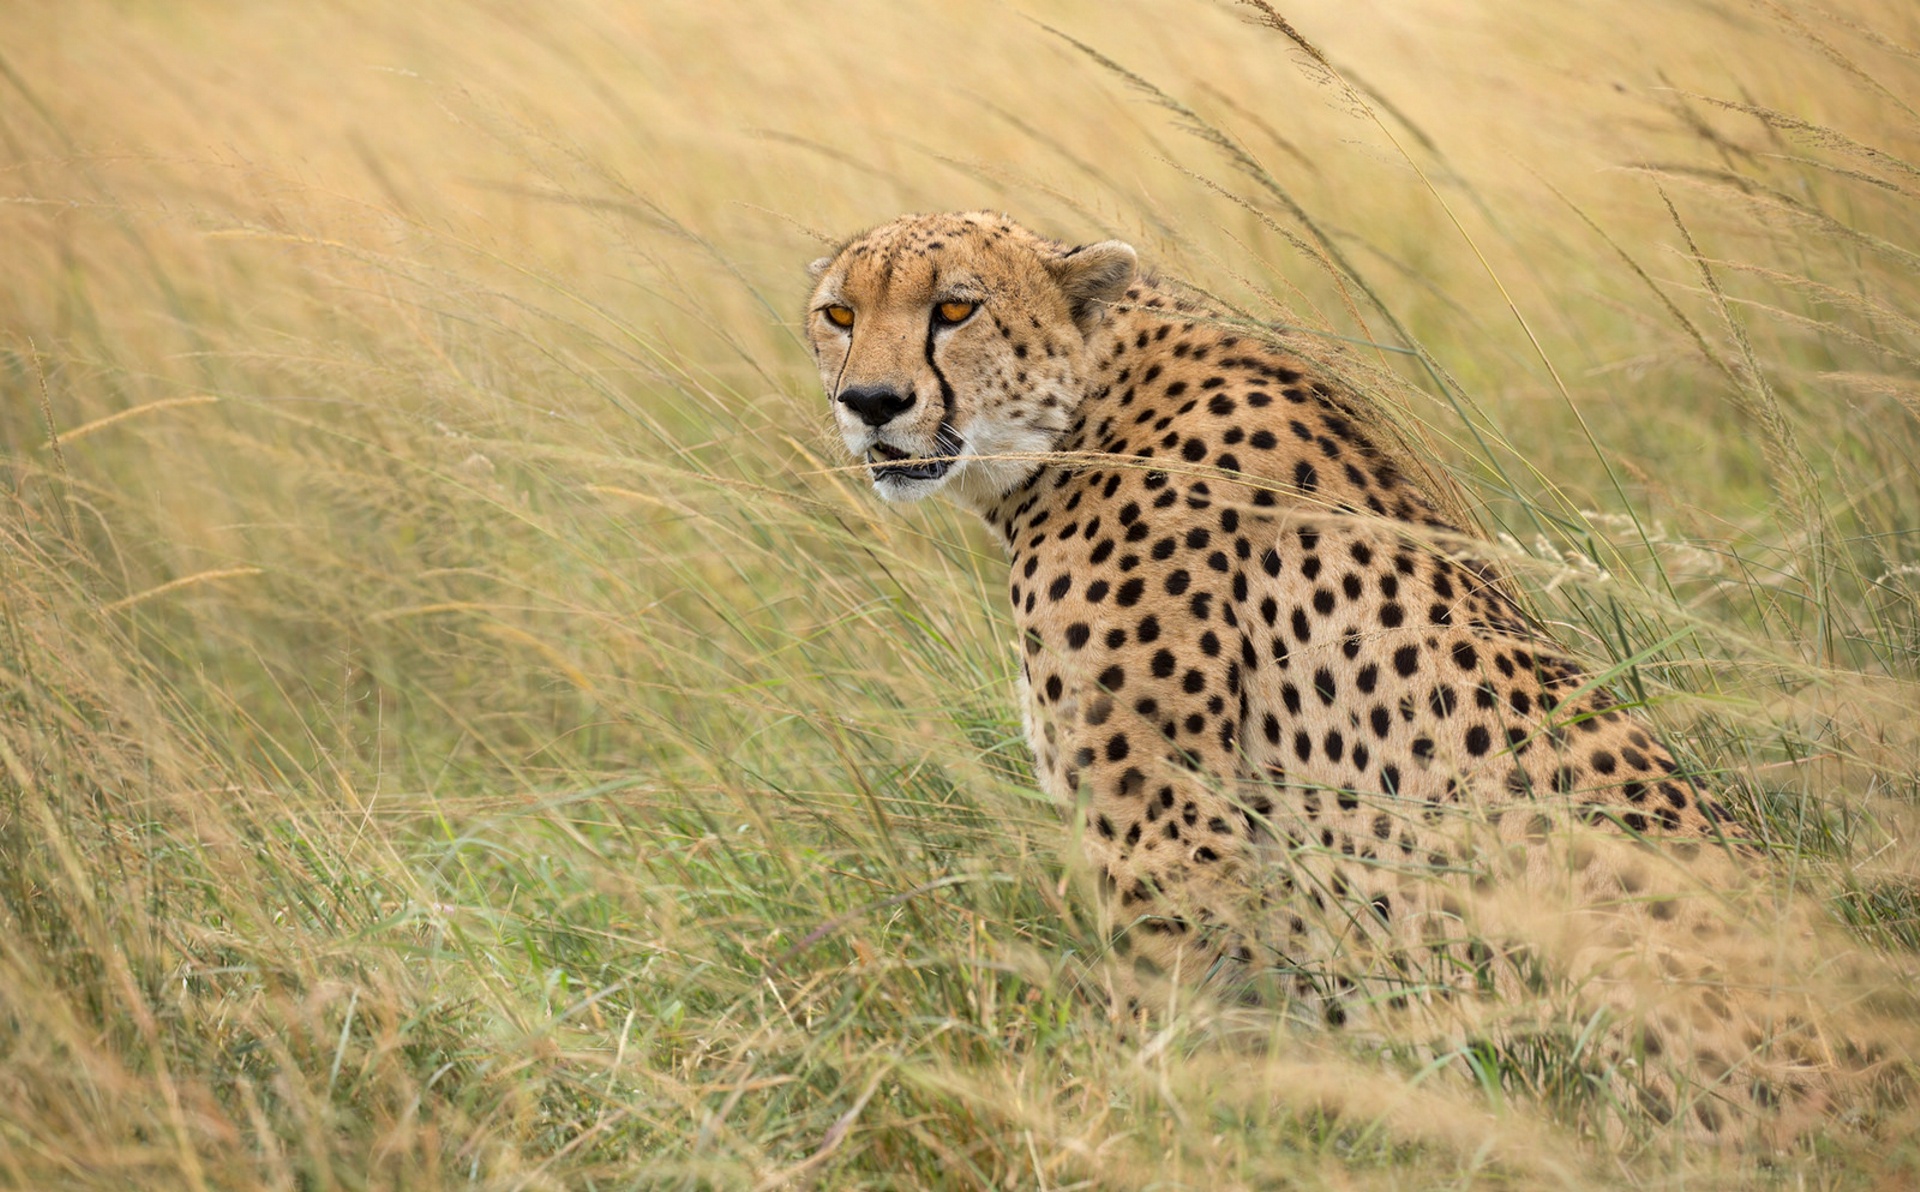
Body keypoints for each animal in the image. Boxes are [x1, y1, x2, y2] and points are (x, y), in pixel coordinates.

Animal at [802, 211, 1896, 1144]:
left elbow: (1161, 1034)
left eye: (956, 309)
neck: (1084, 411)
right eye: (840, 315)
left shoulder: (1168, 836)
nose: (872, 404)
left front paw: (1134, 1125)